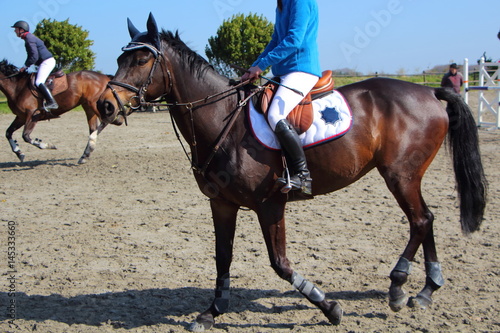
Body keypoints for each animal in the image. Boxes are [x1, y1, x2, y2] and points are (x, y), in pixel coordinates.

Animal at [95, 14, 486, 330]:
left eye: (142, 58)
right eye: (119, 58)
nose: (105, 105)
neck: (223, 120)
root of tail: (429, 94)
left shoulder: (270, 205)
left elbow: (280, 263)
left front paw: (330, 308)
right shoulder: (222, 204)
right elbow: (223, 257)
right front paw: (212, 312)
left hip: (400, 175)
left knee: (419, 220)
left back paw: (397, 286)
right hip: (408, 177)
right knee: (426, 219)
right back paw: (426, 290)